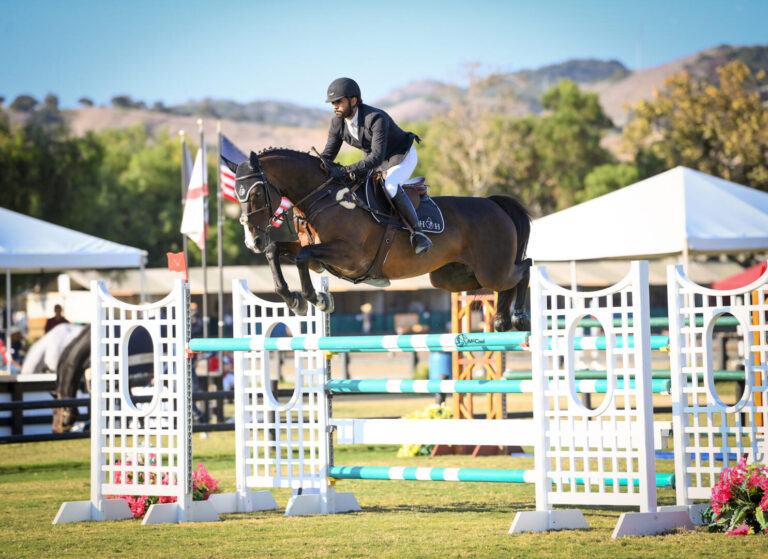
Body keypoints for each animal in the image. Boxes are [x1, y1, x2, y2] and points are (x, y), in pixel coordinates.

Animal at [232, 150, 536, 332]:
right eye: (237, 194)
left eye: (256, 193)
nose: (252, 241)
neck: (323, 197)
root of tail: (494, 204)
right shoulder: (320, 259)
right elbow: (277, 251)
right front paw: (294, 299)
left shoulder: (348, 256)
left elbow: (301, 257)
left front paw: (315, 299)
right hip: (453, 278)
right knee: (505, 282)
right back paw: (502, 320)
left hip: (492, 270)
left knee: (525, 267)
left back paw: (519, 317)